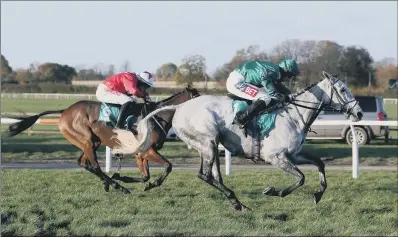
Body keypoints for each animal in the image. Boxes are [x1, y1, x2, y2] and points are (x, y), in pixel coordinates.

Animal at [5, 86, 201, 193]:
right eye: (197, 98)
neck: (155, 117)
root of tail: (65, 111)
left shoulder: (140, 153)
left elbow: (145, 177)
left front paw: (125, 177)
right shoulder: (146, 150)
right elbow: (168, 166)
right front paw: (130, 180)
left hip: (92, 141)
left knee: (83, 163)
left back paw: (110, 183)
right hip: (86, 140)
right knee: (95, 166)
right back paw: (117, 186)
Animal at [112, 71, 364, 211]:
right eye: (343, 89)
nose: (359, 113)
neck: (294, 115)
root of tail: (180, 107)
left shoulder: (294, 154)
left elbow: (319, 164)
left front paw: (318, 194)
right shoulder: (276, 157)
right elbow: (300, 178)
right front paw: (274, 191)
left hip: (210, 146)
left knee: (213, 176)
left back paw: (237, 202)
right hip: (209, 142)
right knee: (205, 175)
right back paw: (237, 201)